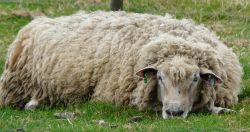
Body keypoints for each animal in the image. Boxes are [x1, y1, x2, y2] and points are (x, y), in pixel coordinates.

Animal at [0, 11, 242, 118]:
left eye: (195, 78)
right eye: (159, 77)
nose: (174, 112)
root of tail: (39, 21)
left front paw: (219, 109)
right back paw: (33, 104)